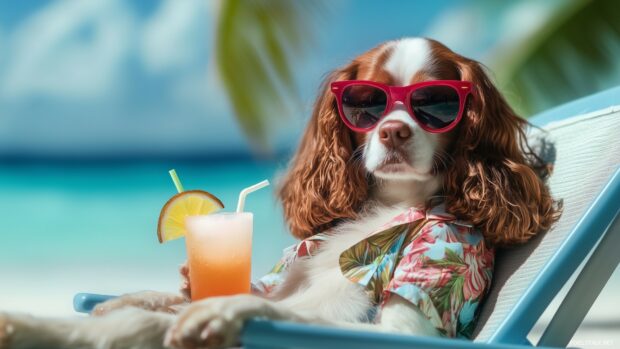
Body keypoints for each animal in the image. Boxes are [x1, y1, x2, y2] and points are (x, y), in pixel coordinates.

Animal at [0, 38, 560, 348]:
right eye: (367, 102)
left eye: (435, 103)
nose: (394, 132)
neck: (393, 203)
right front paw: (157, 292)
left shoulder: (407, 318)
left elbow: (268, 310)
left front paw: (224, 312)